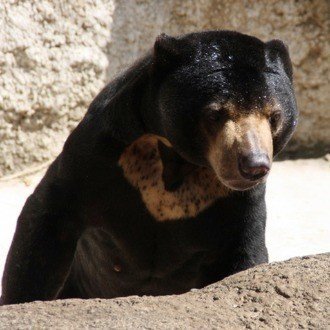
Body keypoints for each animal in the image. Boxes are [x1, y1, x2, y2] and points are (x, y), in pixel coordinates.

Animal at [0, 30, 298, 304]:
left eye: (274, 116)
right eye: (215, 114)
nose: (253, 165)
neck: (176, 159)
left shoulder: (236, 198)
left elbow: (244, 249)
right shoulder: (98, 156)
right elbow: (49, 220)